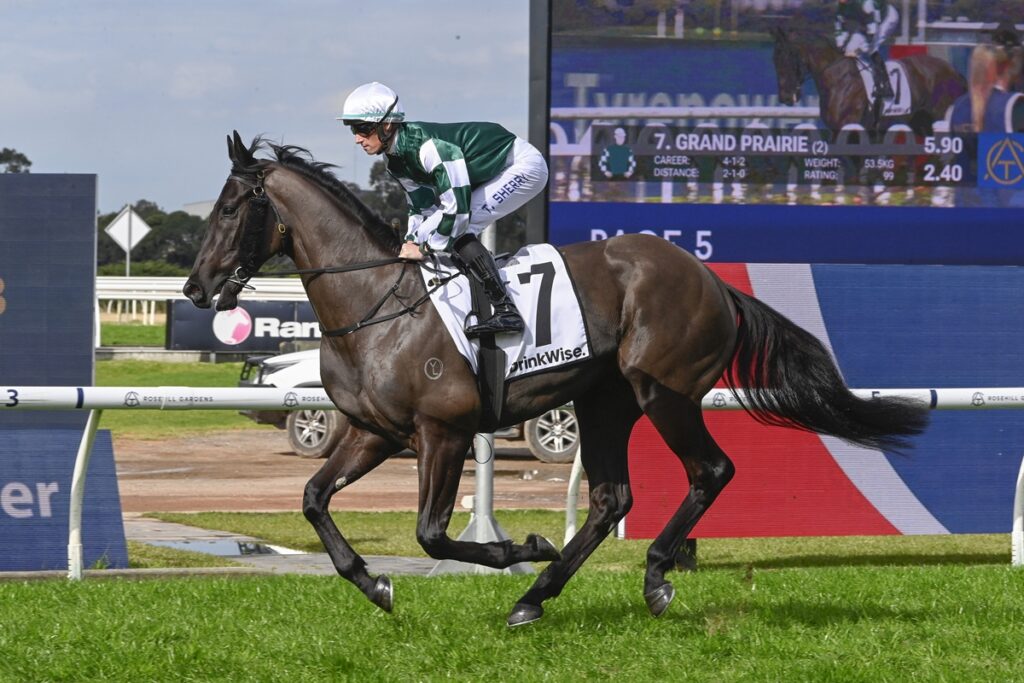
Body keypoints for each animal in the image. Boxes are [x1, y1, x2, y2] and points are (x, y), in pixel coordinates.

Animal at [183, 132, 929, 626]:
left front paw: (523, 544)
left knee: (709, 471)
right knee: (610, 498)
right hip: (604, 402)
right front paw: (375, 585)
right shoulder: (374, 430)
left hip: (665, 392)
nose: (195, 288)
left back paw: (652, 576)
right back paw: (535, 596)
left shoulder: (443, 430)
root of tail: (711, 278)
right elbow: (313, 499)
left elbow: (432, 533)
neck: (374, 303)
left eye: (230, 208)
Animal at [770, 26, 966, 135]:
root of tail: (954, 72)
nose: (785, 97)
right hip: (921, 123)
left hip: (939, 117)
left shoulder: (848, 126)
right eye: (775, 60)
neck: (838, 79)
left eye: (788, 56)